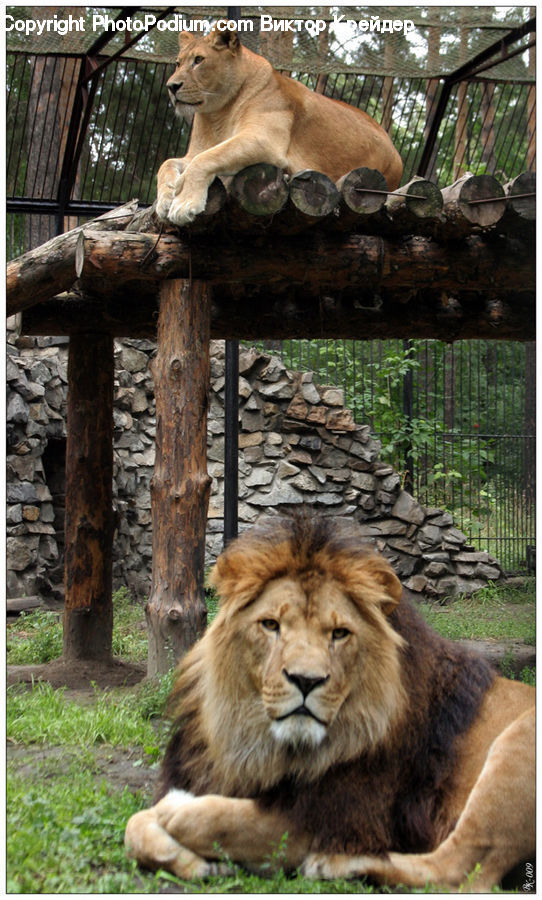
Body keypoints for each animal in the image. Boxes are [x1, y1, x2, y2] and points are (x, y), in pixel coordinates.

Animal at [125, 515, 535, 891]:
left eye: (339, 634)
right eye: (271, 625)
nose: (306, 681)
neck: (262, 745)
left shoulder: (327, 819)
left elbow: (218, 819)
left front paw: (176, 812)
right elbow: (135, 825)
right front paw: (196, 861)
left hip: (516, 747)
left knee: (459, 873)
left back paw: (339, 864)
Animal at [156, 25, 403, 226]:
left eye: (198, 60)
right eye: (178, 63)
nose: (171, 86)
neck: (218, 112)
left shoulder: (264, 140)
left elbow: (205, 159)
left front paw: (184, 204)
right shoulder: (194, 152)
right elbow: (168, 163)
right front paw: (165, 198)